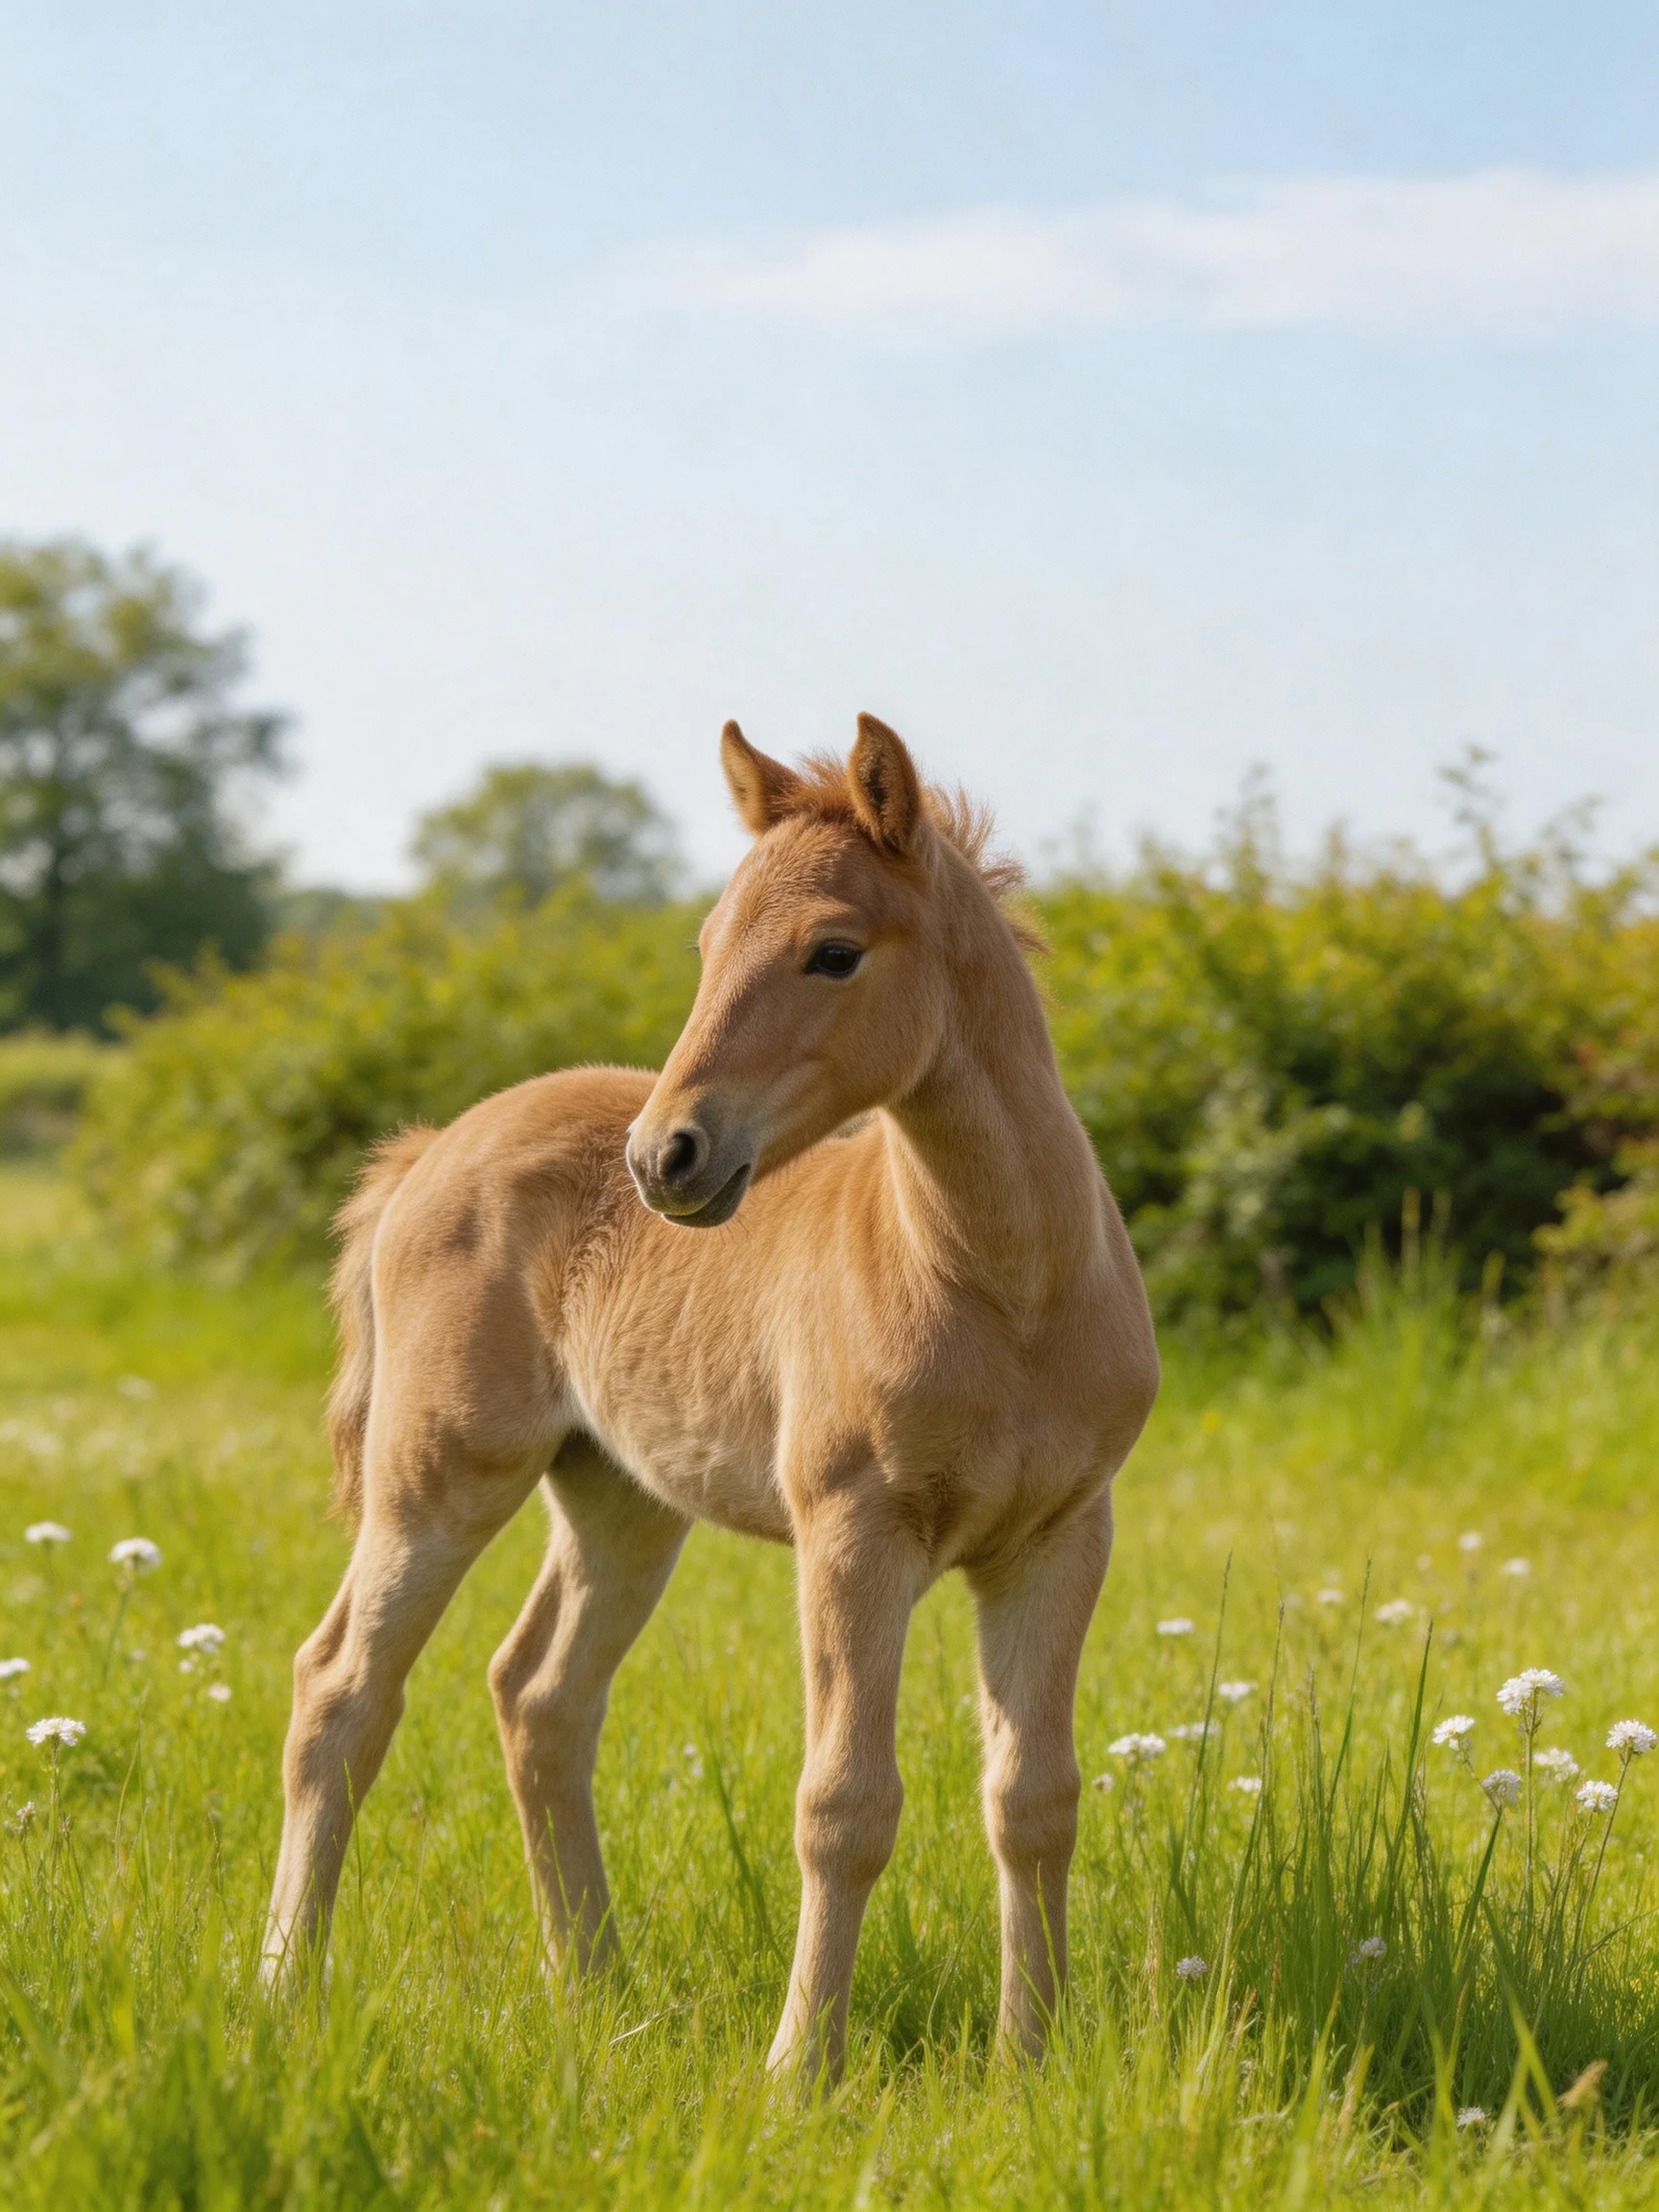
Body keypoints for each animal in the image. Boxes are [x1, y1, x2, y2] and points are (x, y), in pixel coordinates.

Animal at [263, 714, 1159, 2078]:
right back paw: (281, 1992)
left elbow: (1034, 1799)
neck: (1004, 1288)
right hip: (437, 1476)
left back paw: (597, 1988)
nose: (666, 1156)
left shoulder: (1060, 1538)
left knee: (541, 1700)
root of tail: (431, 1153)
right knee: (341, 1690)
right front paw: (802, 2071)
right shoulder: (853, 1532)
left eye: (832, 952)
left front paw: (1033, 2064)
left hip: (620, 1500)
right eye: (706, 944)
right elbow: (843, 1804)